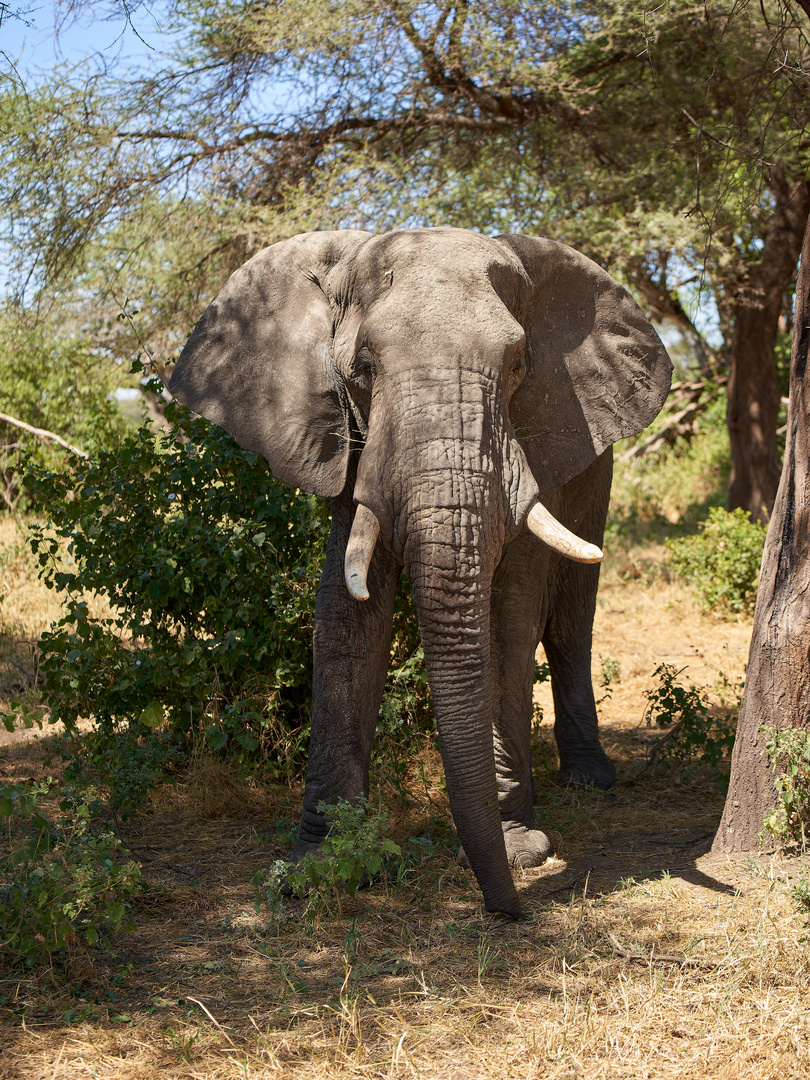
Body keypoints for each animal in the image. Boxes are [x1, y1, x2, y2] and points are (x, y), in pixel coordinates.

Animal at [169, 223, 673, 915]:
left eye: (519, 364)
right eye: (361, 370)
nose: (513, 910)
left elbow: (507, 618)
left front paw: (519, 848)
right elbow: (347, 614)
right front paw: (320, 868)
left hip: (595, 469)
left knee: (571, 619)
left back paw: (589, 782)